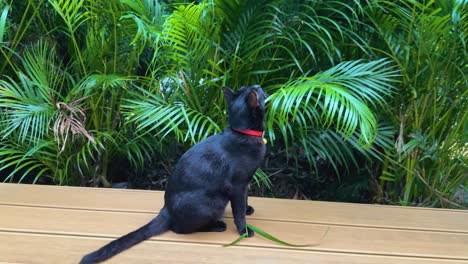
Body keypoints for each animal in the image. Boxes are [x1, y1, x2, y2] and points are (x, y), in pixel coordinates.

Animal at [80, 85, 266, 262]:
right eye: (257, 90)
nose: (258, 85)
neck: (243, 134)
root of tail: (166, 209)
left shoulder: (246, 182)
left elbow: (245, 200)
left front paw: (248, 209)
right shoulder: (238, 185)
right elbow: (238, 211)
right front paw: (244, 230)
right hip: (214, 201)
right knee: (179, 229)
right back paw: (217, 226)